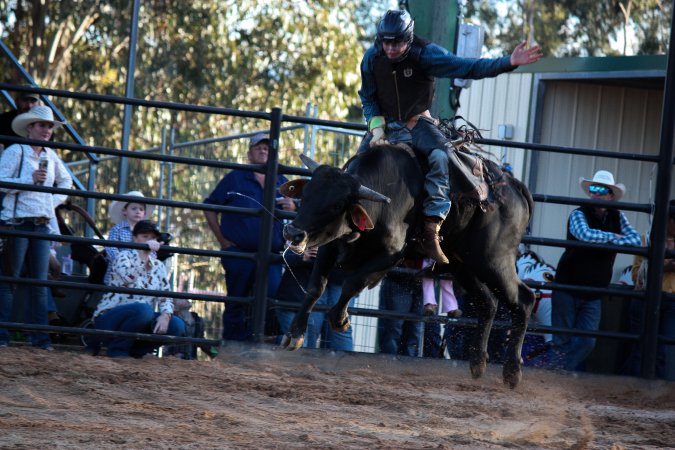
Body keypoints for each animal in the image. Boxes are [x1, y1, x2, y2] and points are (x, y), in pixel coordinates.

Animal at [280, 145, 535, 388]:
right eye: (306, 194)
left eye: (337, 205)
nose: (292, 232)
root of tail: (513, 185)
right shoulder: (328, 246)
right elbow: (316, 287)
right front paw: (294, 334)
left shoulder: (391, 254)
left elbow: (353, 282)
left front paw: (340, 319)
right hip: (462, 264)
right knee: (488, 303)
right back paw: (478, 362)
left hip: (493, 260)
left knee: (524, 299)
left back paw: (512, 371)